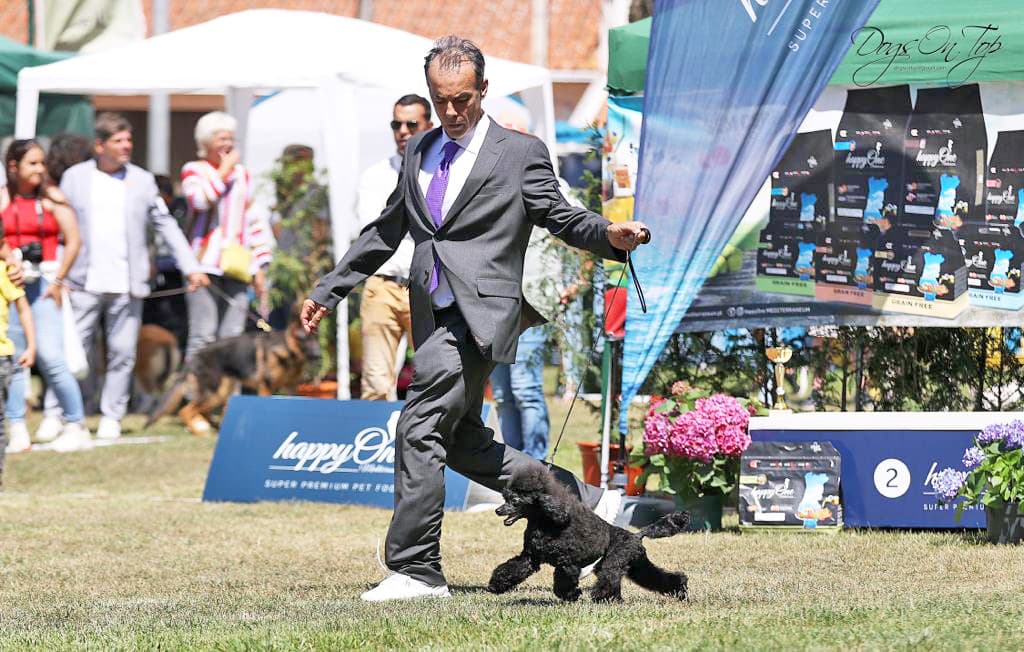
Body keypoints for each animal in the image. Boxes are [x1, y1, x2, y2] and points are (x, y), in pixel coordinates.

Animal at [146, 323, 317, 433]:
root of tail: (196, 356)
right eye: (306, 342)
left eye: (314, 342)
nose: (319, 356)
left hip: (221, 392)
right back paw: (200, 432)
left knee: (203, 413)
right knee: (185, 412)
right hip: (214, 393)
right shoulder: (266, 387)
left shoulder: (291, 387)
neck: (287, 349)